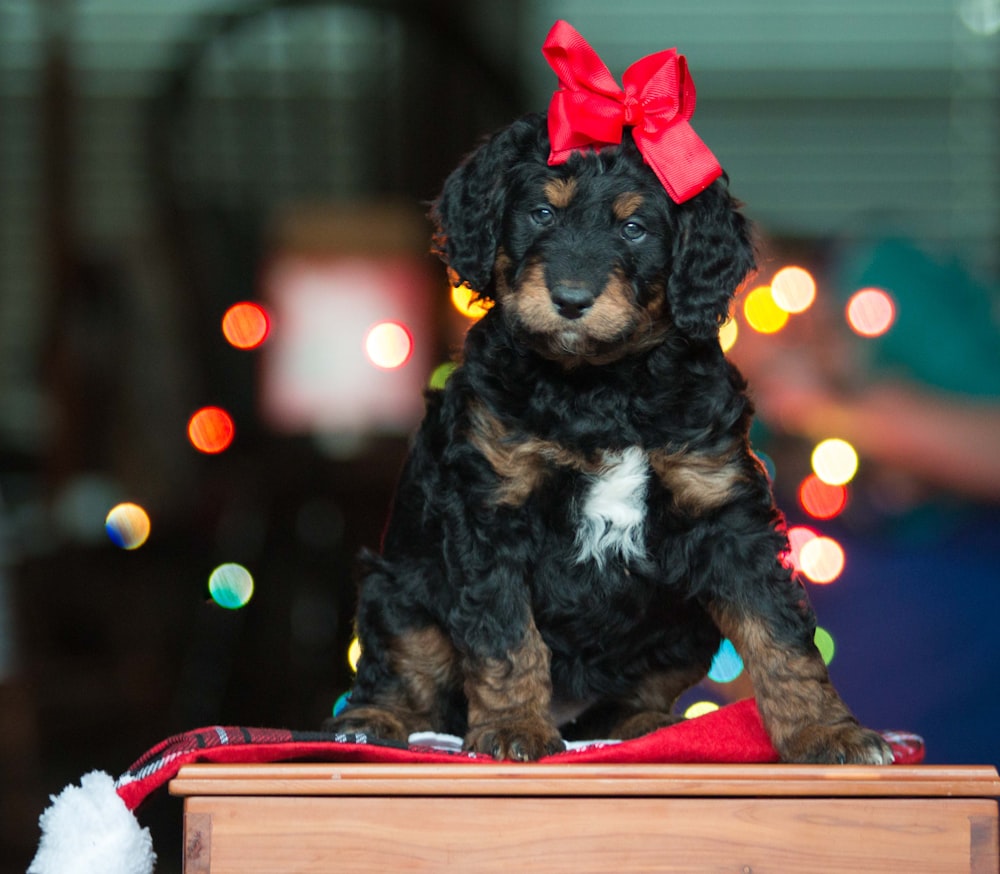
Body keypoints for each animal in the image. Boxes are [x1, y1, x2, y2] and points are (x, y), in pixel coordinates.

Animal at [326, 20, 892, 764]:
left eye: (633, 228)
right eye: (540, 213)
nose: (571, 299)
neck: (600, 389)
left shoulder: (725, 512)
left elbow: (780, 634)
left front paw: (827, 731)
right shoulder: (488, 510)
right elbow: (505, 635)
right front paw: (513, 726)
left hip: (683, 629)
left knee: (634, 692)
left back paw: (643, 726)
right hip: (400, 586)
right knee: (403, 665)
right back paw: (375, 721)